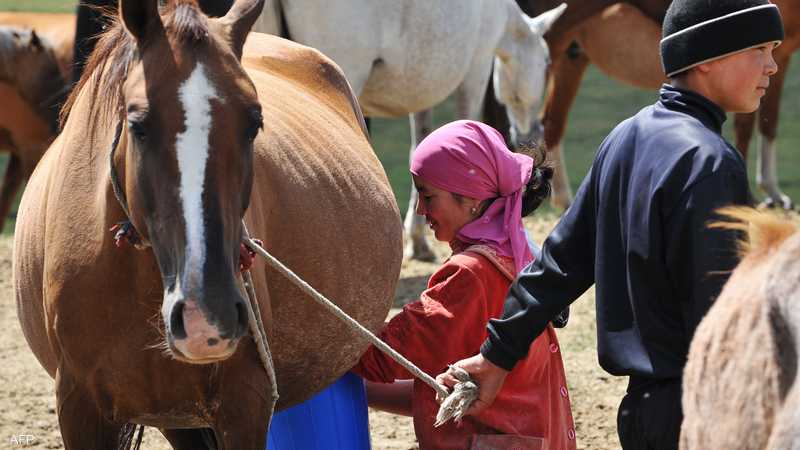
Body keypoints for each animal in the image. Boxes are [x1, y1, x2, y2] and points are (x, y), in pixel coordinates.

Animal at [258, 0, 568, 260]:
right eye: (547, 62)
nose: (531, 133)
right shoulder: (476, 71)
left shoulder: (420, 89)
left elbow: (421, 146)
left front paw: (418, 240)